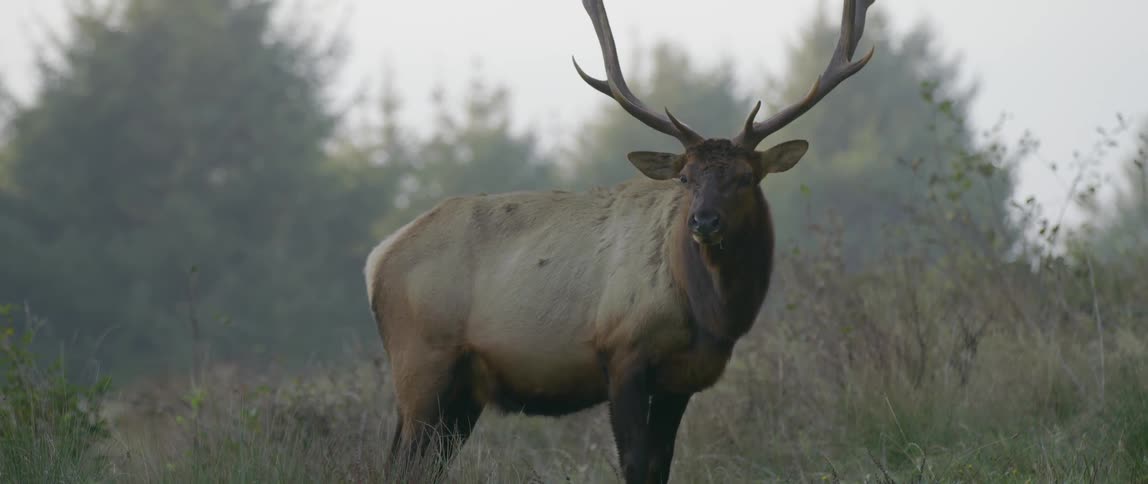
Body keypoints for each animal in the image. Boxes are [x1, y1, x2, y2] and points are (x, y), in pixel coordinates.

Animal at [364, 0, 875, 482]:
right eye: (686, 177)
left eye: (746, 177)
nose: (703, 222)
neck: (709, 313)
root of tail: (377, 258)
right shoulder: (623, 352)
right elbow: (635, 462)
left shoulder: (681, 378)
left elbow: (661, 464)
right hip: (421, 364)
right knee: (398, 463)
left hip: (463, 390)